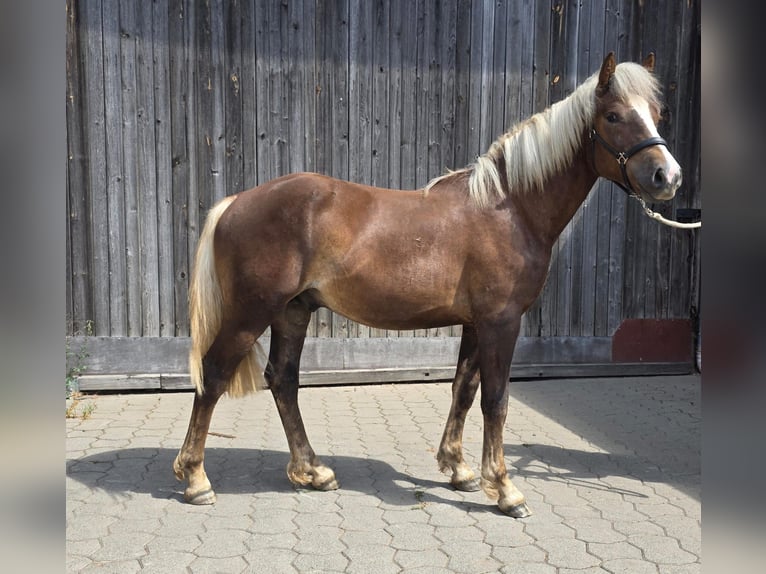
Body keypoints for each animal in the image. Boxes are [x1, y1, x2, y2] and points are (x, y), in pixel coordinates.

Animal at [173, 52, 682, 518]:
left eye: (656, 114)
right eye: (613, 116)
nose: (668, 177)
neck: (510, 208)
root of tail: (236, 202)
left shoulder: (477, 324)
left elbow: (464, 389)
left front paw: (460, 470)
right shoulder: (502, 323)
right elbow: (496, 400)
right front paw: (506, 489)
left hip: (292, 311)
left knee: (283, 379)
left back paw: (313, 471)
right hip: (251, 313)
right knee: (213, 375)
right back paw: (196, 479)